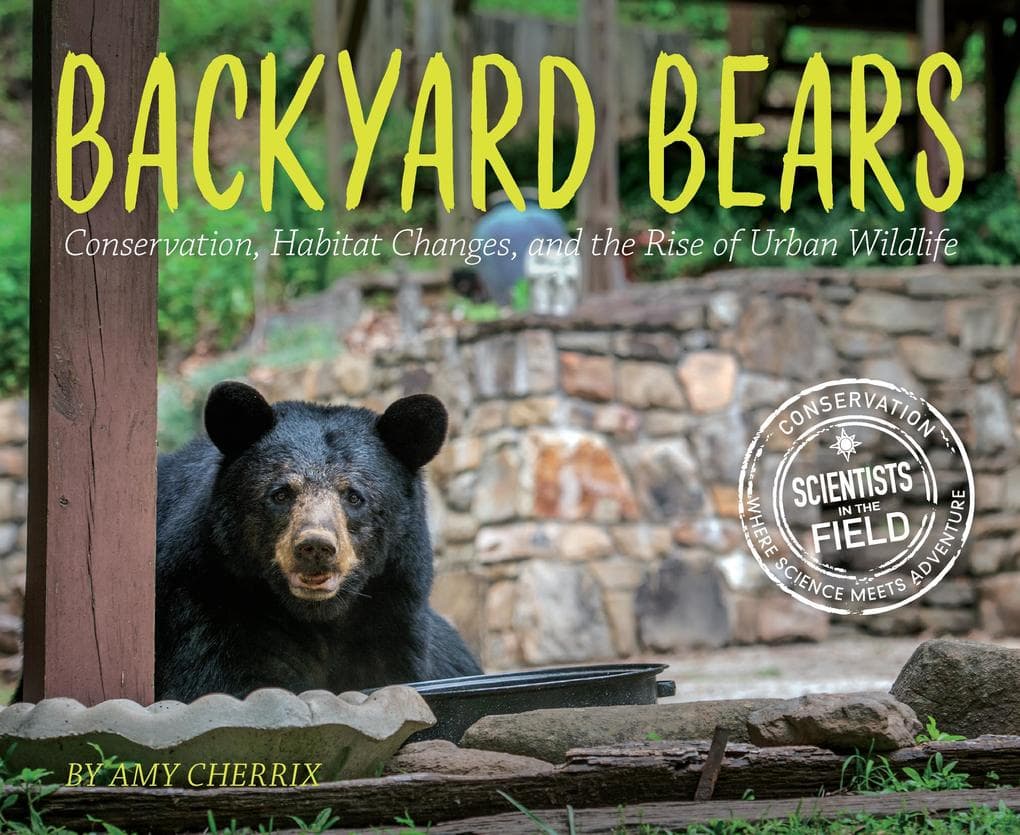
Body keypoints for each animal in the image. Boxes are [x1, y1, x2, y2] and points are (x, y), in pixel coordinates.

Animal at [154, 380, 482, 702]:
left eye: (354, 496)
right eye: (281, 493)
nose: (315, 546)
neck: (319, 616)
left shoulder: (392, 612)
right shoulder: (211, 601)